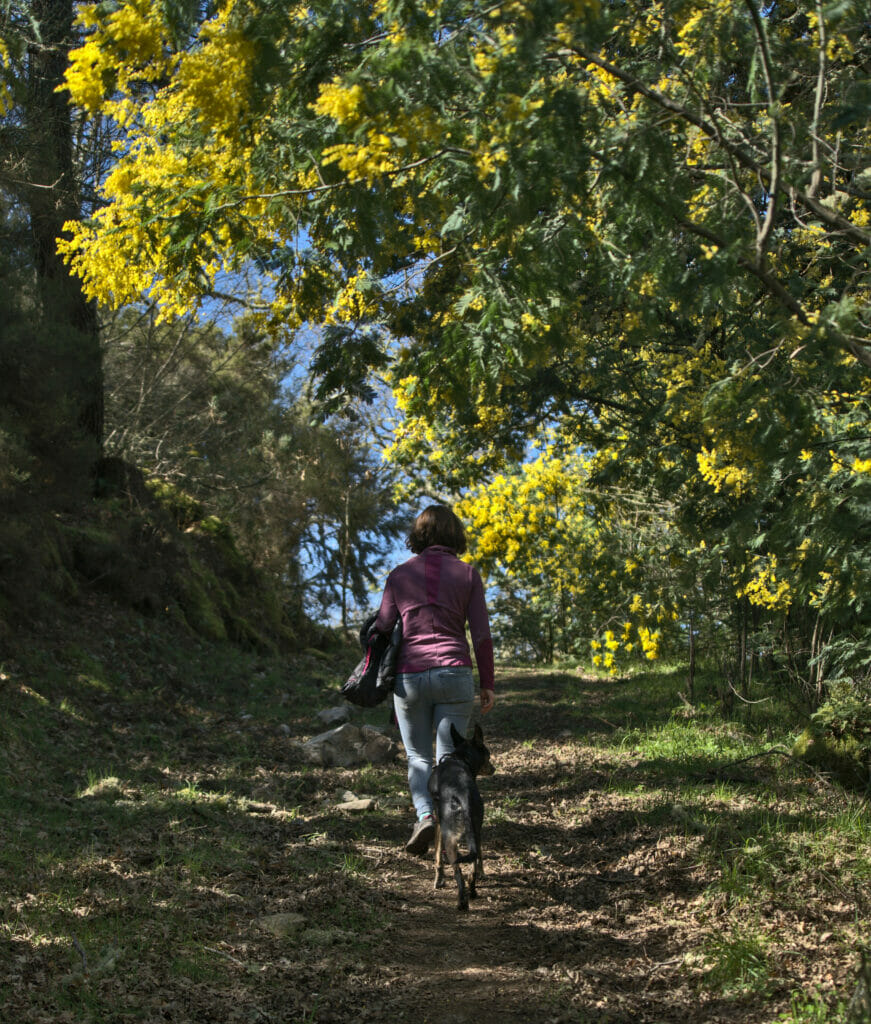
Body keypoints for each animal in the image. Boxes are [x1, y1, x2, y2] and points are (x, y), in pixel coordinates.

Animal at [427, 720, 493, 913]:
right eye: (489, 756)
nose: (493, 768)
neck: (460, 758)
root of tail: (463, 793)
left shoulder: (439, 821)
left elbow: (437, 856)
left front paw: (438, 880)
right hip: (476, 831)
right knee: (473, 867)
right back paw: (473, 892)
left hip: (450, 836)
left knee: (459, 873)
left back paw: (461, 902)